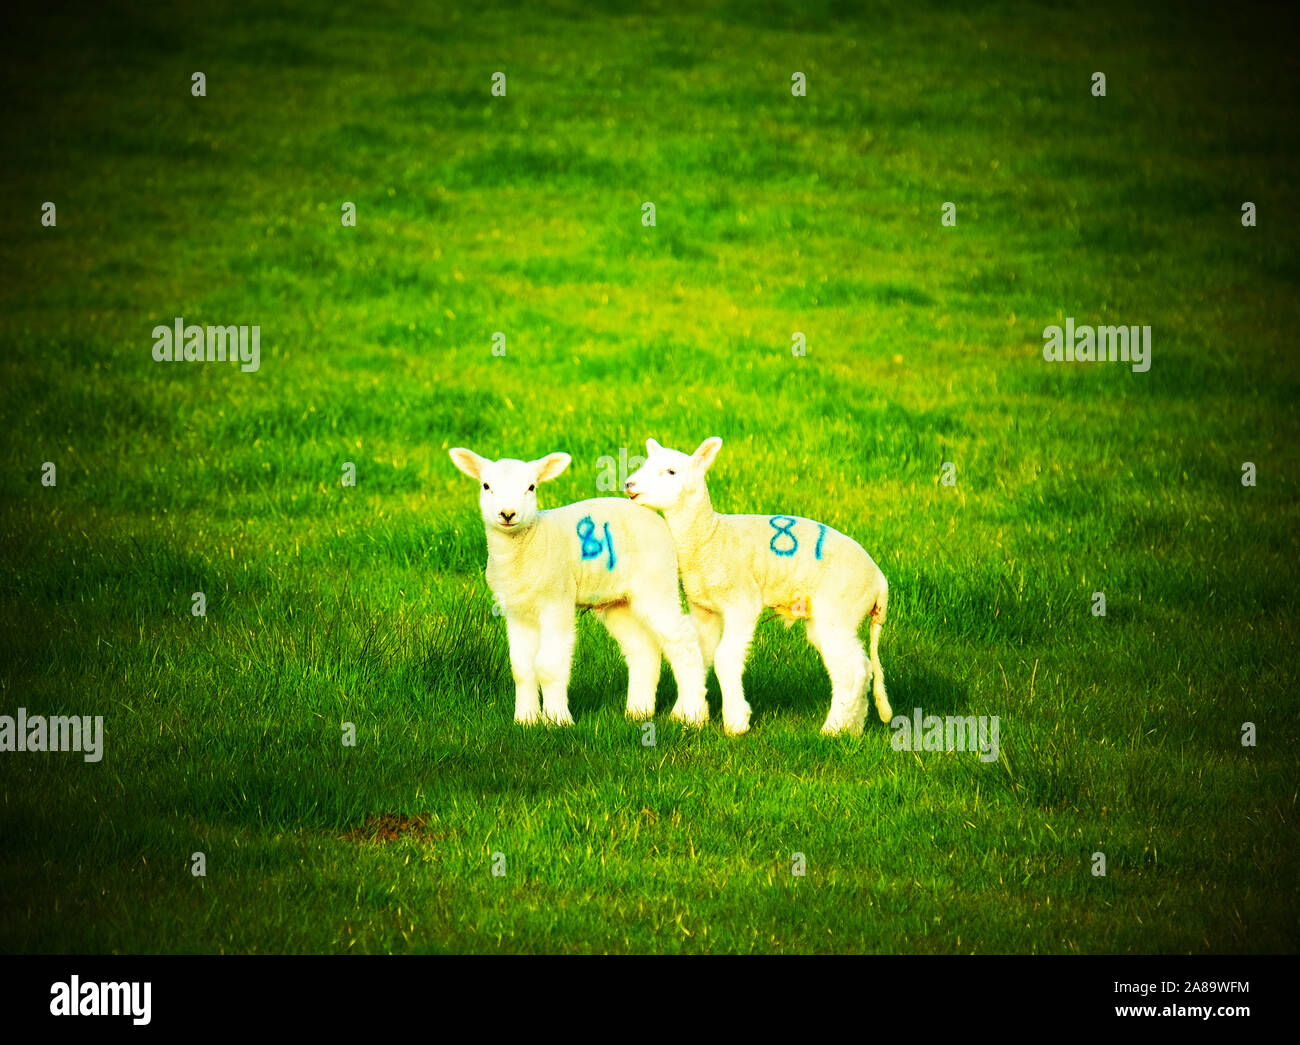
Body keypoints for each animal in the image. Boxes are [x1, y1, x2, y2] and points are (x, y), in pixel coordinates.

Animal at [448, 447, 709, 727]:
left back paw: (691, 715)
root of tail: (655, 518)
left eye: (531, 487)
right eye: (486, 486)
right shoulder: (516, 610)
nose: (507, 514)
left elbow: (549, 667)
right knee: (642, 649)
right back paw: (638, 711)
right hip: (617, 600)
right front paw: (526, 720)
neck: (529, 543)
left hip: (656, 581)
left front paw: (557, 721)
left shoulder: (556, 600)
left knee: (683, 641)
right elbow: (521, 668)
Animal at [624, 437, 892, 737]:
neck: (710, 538)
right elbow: (698, 654)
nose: (629, 484)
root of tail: (879, 581)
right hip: (841, 617)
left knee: (852, 671)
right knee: (863, 667)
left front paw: (735, 722)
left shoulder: (741, 602)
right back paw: (853, 729)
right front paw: (686, 714)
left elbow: (725, 658)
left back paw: (831, 730)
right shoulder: (703, 607)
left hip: (839, 607)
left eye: (671, 471)